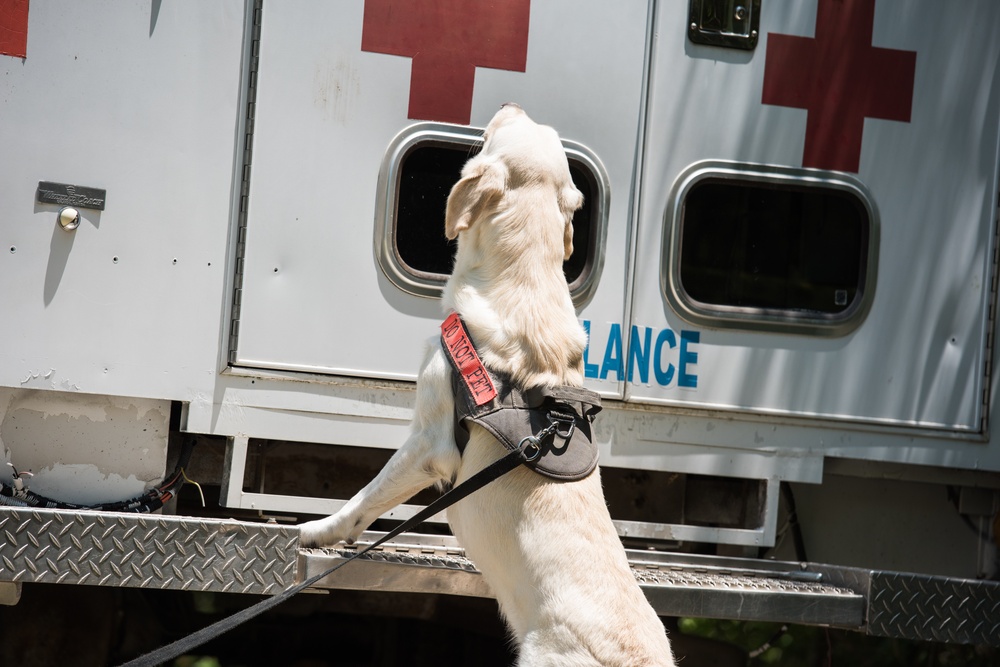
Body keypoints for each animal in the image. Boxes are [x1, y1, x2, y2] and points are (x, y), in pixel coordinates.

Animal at [294, 104, 672, 667]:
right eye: (539, 128)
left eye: (503, 130)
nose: (509, 106)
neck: (528, 281)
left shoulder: (428, 443)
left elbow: (364, 500)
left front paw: (316, 531)